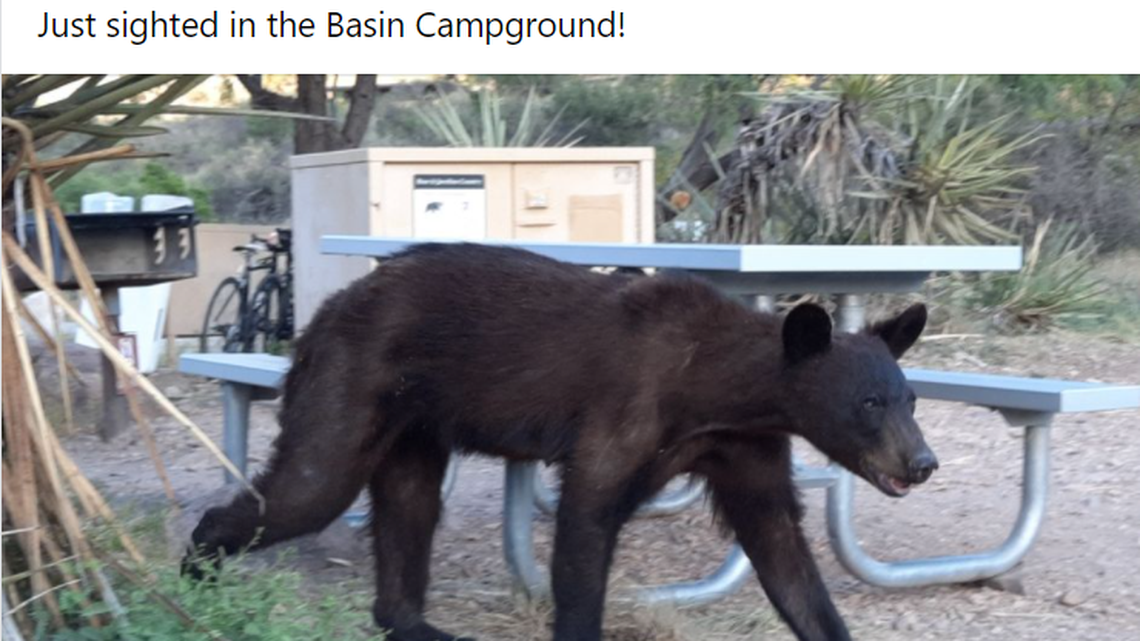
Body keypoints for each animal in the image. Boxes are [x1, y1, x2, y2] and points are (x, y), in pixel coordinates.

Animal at [185, 242, 938, 641]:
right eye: (869, 403)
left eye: (910, 398)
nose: (923, 461)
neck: (716, 388)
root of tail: (325, 309)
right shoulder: (627, 409)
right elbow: (586, 524)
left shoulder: (746, 448)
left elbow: (782, 548)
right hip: (353, 377)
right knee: (310, 484)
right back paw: (197, 576)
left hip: (415, 421)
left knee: (409, 504)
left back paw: (414, 621)